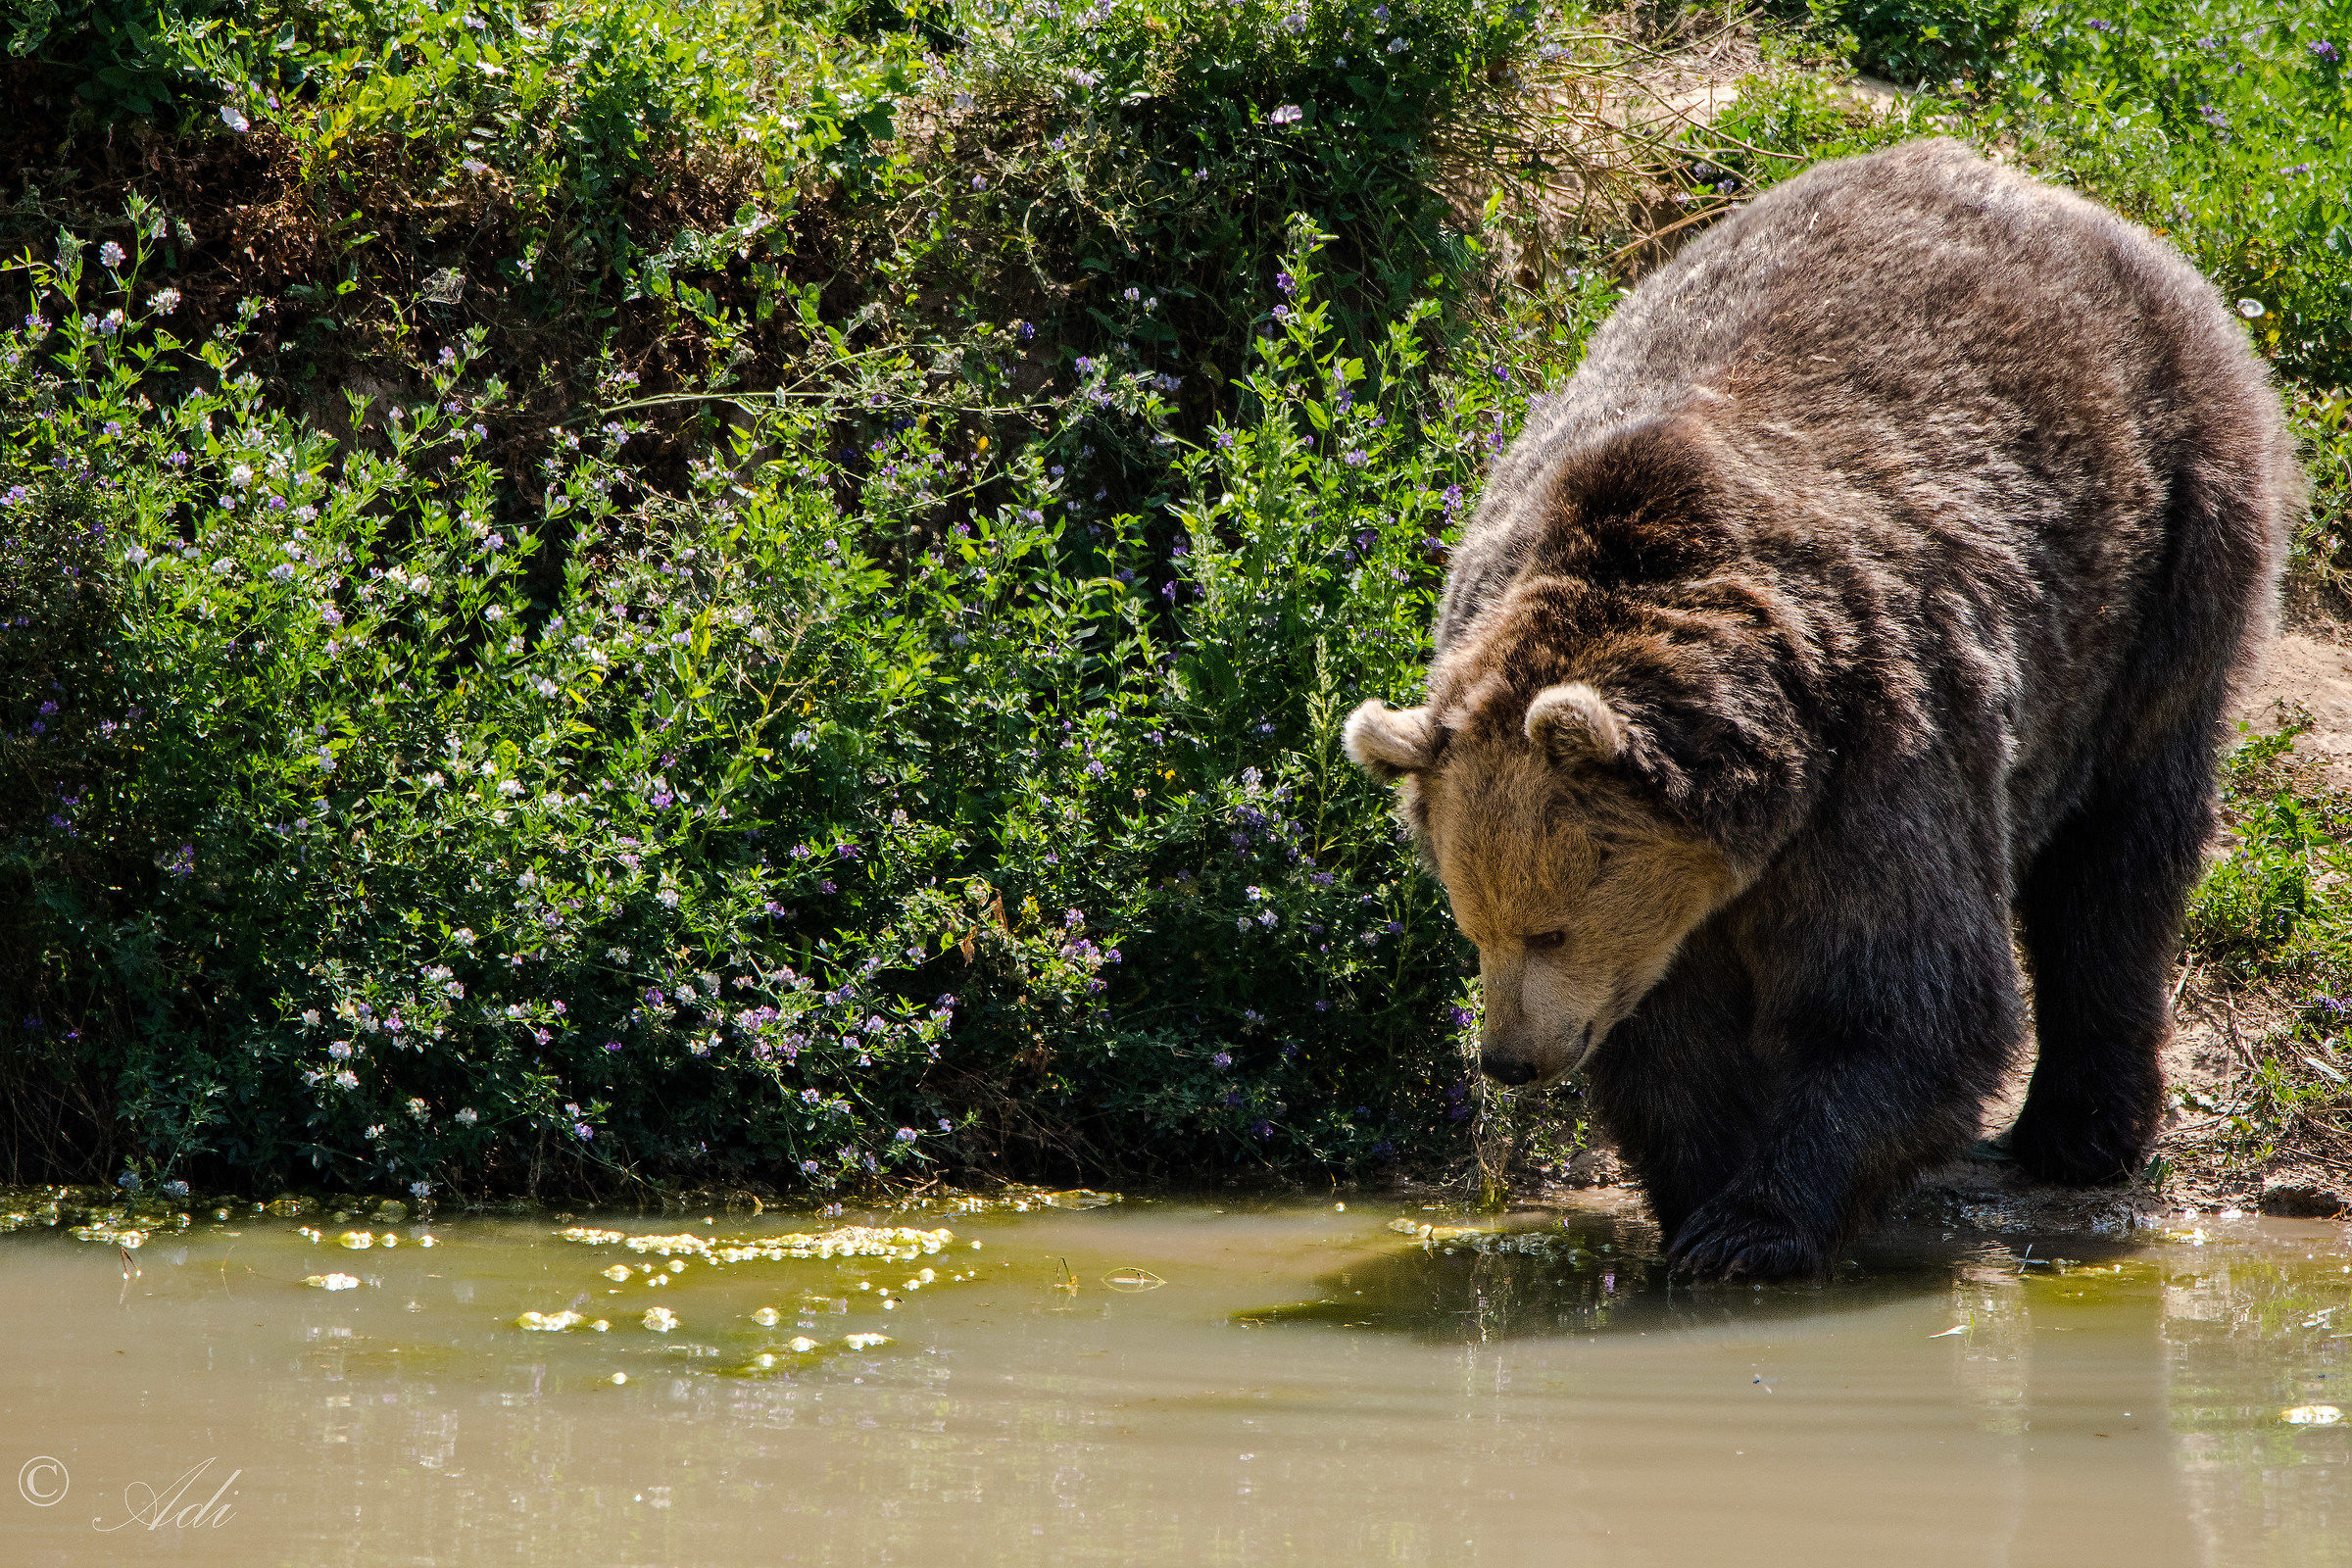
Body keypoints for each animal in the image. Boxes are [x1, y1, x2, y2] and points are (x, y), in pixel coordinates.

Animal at [1343, 139, 2298, 1280]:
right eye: (1472, 922)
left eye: (1550, 928)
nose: (1508, 1060)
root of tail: (2058, 195)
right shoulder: (1671, 889)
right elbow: (1669, 1040)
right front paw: (1699, 1198)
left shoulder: (1879, 755)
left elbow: (1908, 998)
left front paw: (1750, 1227)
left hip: (2173, 548)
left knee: (2119, 857)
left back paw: (2080, 1133)